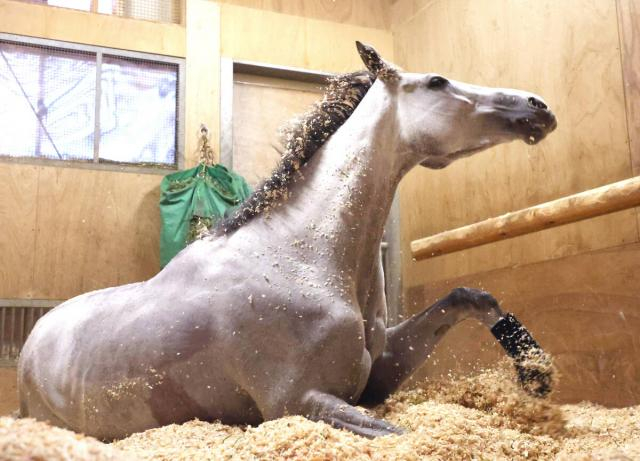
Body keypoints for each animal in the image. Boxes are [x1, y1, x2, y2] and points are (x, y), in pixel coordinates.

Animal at [18, 42, 557, 440]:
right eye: (436, 82)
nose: (539, 107)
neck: (302, 257)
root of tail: (31, 344)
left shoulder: (379, 373)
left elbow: (471, 295)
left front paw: (535, 372)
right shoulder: (298, 401)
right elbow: (404, 436)